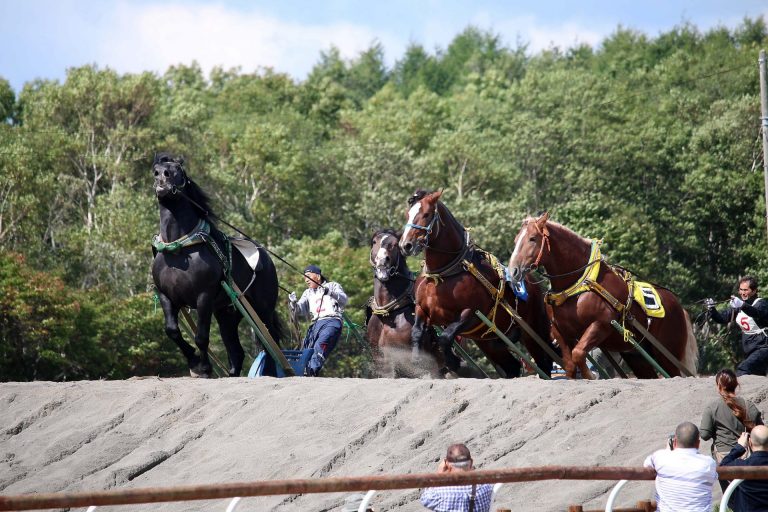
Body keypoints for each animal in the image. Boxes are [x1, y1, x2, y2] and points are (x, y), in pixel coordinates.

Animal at [150, 153, 282, 377]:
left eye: (179, 170)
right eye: (155, 170)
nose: (162, 176)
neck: (179, 248)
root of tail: (265, 257)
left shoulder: (204, 297)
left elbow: (202, 337)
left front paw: (203, 367)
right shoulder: (167, 295)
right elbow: (172, 331)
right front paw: (194, 362)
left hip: (261, 308)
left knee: (270, 341)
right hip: (227, 313)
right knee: (236, 351)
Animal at [398, 190, 555, 378]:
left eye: (426, 214)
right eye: (408, 214)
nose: (406, 245)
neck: (442, 276)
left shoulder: (471, 314)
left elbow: (445, 337)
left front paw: (456, 363)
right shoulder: (422, 309)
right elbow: (416, 333)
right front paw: (418, 362)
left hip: (533, 332)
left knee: (544, 361)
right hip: (490, 342)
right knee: (512, 366)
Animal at [507, 212, 698, 379]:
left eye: (532, 238)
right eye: (515, 241)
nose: (513, 271)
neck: (578, 286)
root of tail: (680, 308)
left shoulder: (602, 324)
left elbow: (578, 354)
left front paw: (590, 376)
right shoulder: (560, 332)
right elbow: (570, 365)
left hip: (667, 355)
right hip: (638, 357)